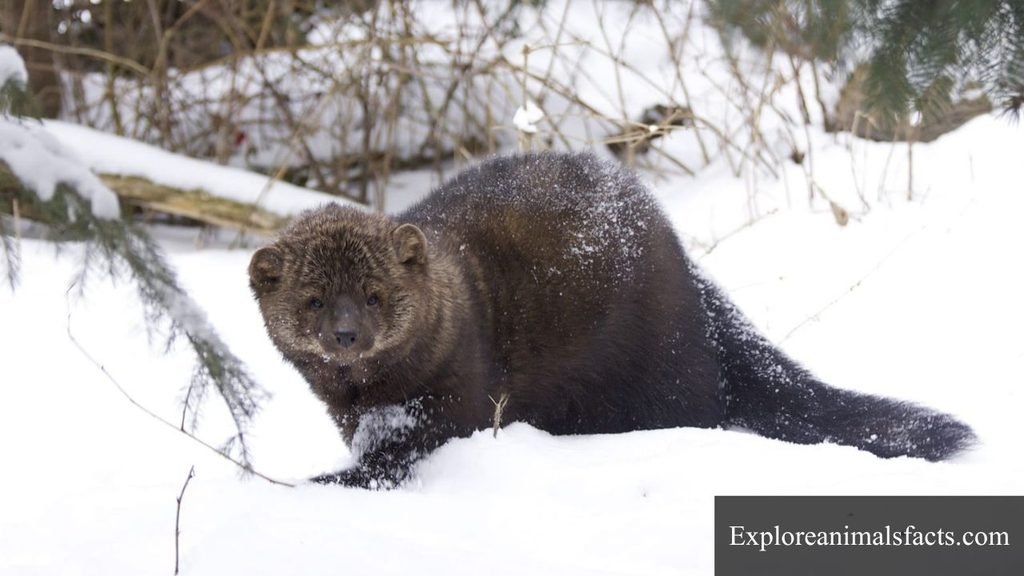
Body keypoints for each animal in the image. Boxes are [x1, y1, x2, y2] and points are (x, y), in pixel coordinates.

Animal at [249, 152, 974, 489]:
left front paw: (311, 485)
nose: (345, 334)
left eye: (374, 294)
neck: (371, 399)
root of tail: (686, 269)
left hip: (661, 362)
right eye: (313, 300)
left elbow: (409, 452)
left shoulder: (452, 392)